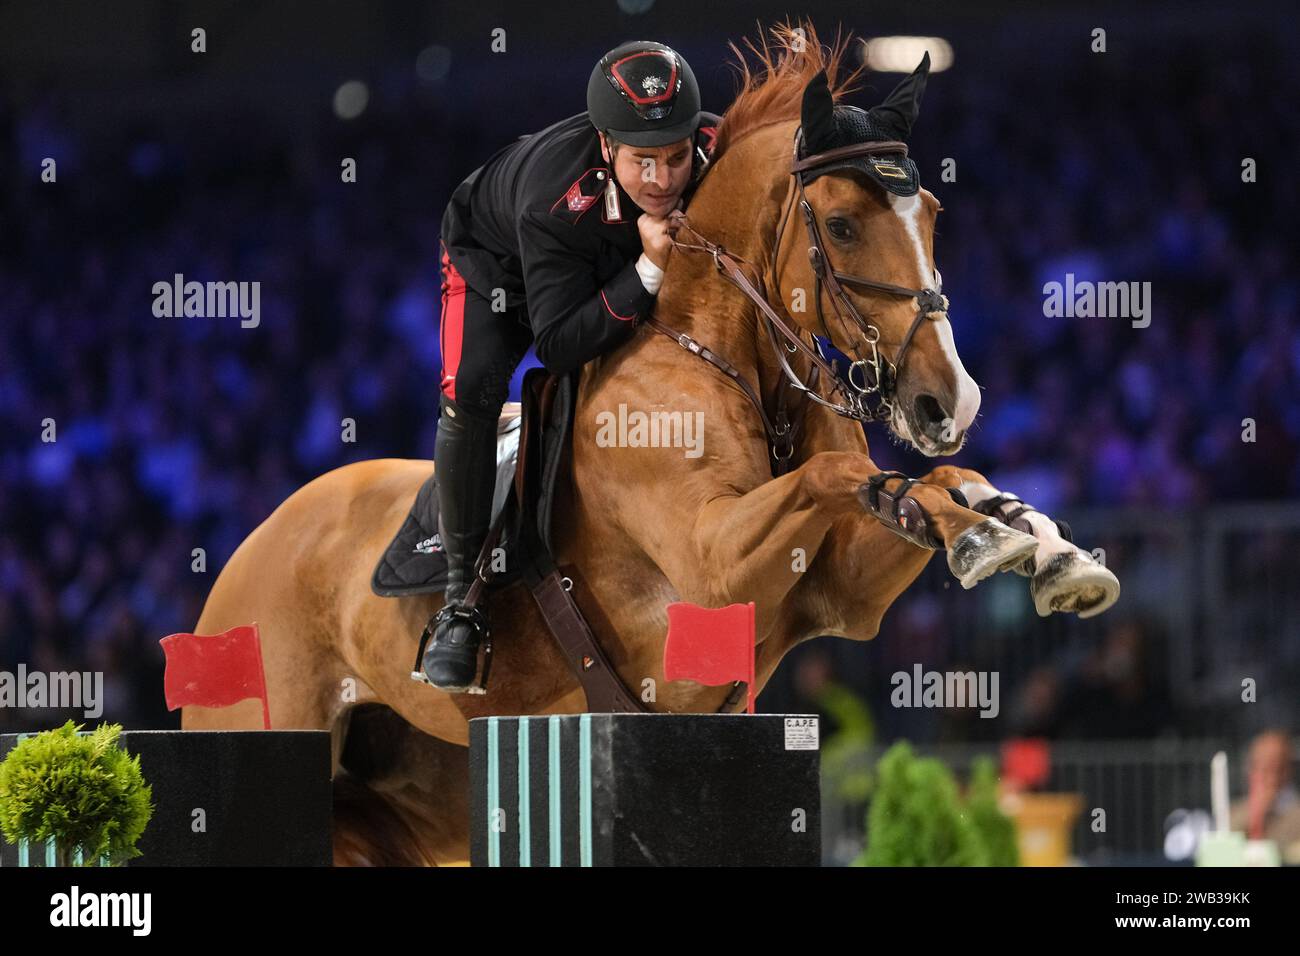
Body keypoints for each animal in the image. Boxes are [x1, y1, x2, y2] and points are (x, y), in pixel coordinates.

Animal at [183, 27, 1118, 868]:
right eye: (843, 225)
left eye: (932, 214)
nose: (946, 400)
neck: (729, 355)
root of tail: (250, 548)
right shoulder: (711, 566)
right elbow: (842, 470)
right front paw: (989, 535)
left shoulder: (836, 597)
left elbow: (926, 481)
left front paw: (1036, 542)